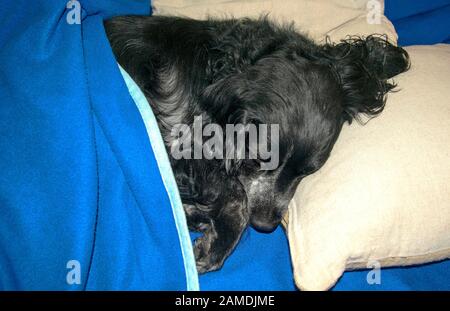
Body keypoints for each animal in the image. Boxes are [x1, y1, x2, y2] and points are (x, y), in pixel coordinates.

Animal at [103, 15, 410, 272]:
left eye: (307, 172)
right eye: (257, 159)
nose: (265, 225)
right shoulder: (176, 144)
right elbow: (235, 194)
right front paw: (215, 245)